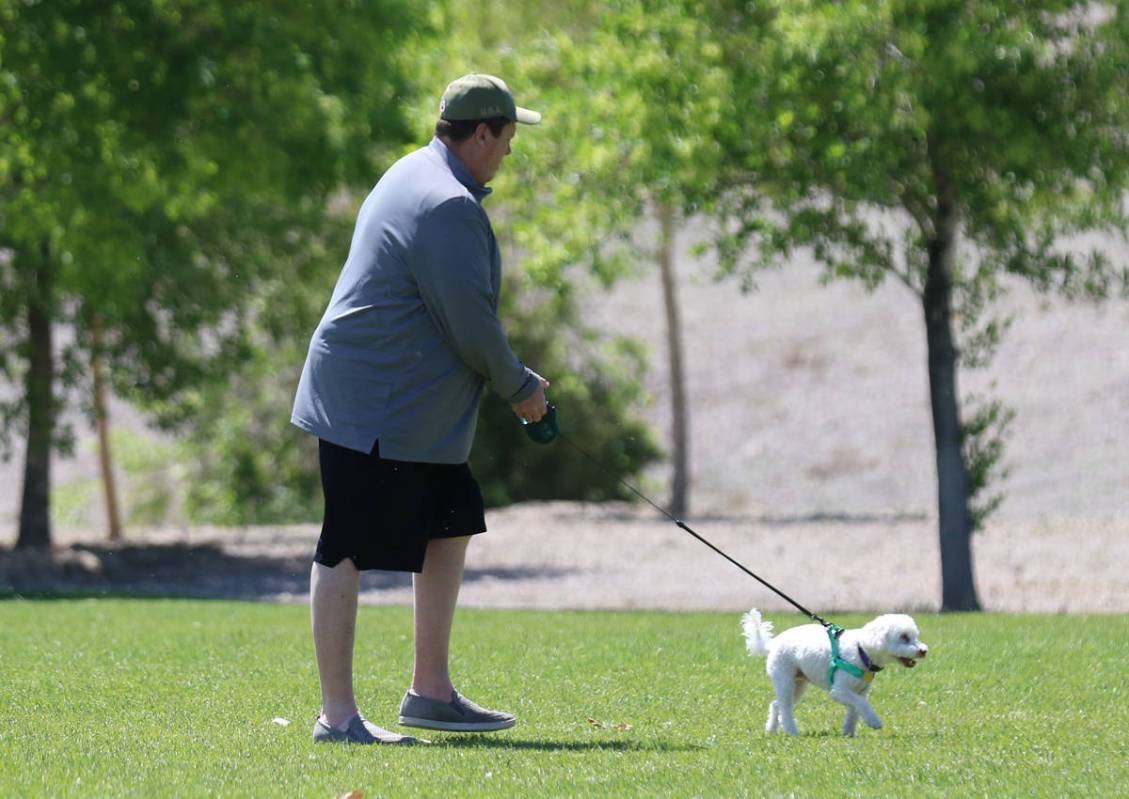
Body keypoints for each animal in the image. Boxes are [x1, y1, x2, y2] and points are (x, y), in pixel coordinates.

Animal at [740, 613, 925, 735]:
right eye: (904, 637)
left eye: (915, 636)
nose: (923, 651)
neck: (861, 650)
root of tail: (771, 644)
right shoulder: (840, 690)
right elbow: (861, 705)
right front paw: (874, 721)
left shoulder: (861, 691)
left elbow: (855, 710)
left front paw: (849, 732)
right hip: (784, 677)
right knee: (785, 708)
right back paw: (792, 731)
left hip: (797, 683)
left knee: (776, 704)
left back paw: (771, 729)